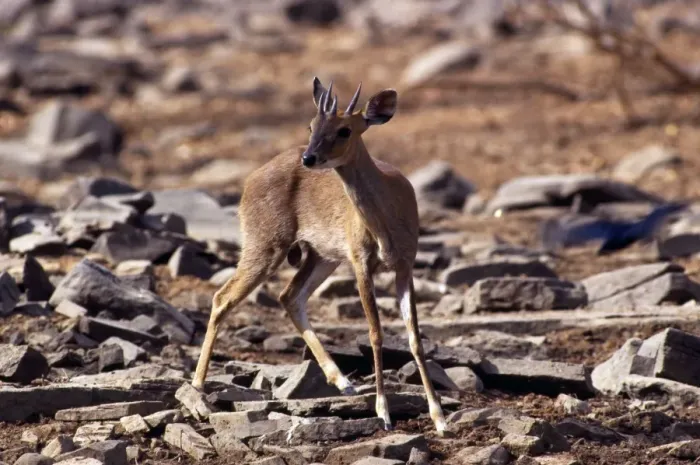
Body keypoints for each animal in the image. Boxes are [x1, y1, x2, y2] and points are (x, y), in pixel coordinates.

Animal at [192, 77, 447, 435]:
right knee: (223, 297)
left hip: (321, 256)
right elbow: (376, 333)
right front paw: (383, 413)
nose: (309, 157)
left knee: (289, 296)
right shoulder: (360, 262)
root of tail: (249, 181)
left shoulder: (404, 265)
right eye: (311, 125)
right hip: (266, 244)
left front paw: (439, 417)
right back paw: (198, 387)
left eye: (345, 129)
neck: (387, 222)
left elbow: (414, 338)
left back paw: (343, 381)